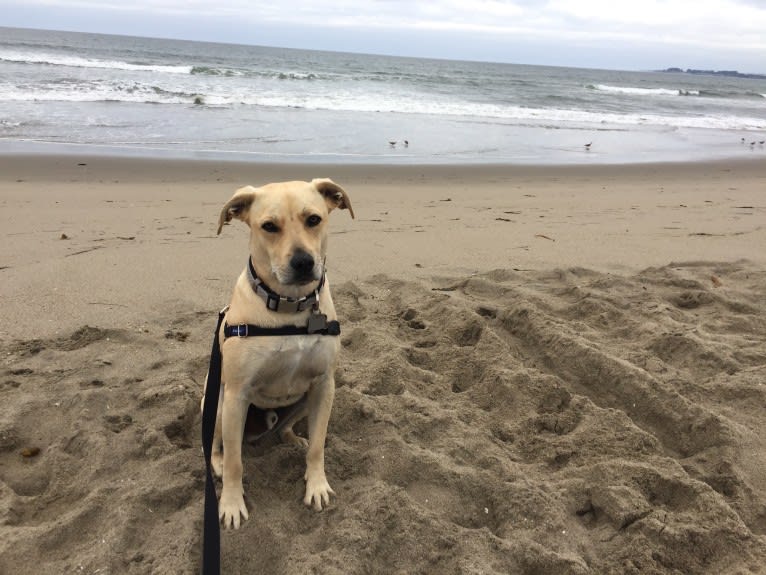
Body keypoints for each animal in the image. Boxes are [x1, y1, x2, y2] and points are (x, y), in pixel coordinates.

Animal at [207, 178, 356, 528]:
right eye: (269, 227)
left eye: (313, 219)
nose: (303, 262)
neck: (290, 306)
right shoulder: (235, 395)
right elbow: (235, 463)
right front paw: (231, 504)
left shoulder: (324, 385)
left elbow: (318, 446)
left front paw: (316, 485)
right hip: (218, 406)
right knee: (218, 447)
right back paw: (217, 464)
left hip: (303, 402)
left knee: (286, 428)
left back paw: (292, 439)